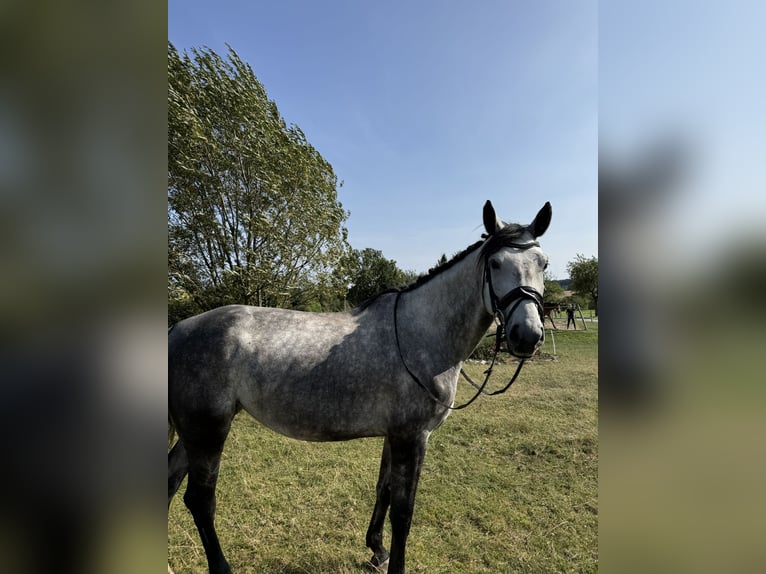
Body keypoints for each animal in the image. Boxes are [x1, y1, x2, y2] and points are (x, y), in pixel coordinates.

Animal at [168, 200, 552, 572]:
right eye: (496, 263)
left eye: (543, 263)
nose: (527, 335)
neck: (419, 334)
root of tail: (177, 330)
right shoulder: (413, 437)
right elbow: (403, 512)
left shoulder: (394, 436)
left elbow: (383, 490)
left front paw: (377, 551)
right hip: (208, 431)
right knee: (200, 500)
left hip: (194, 434)